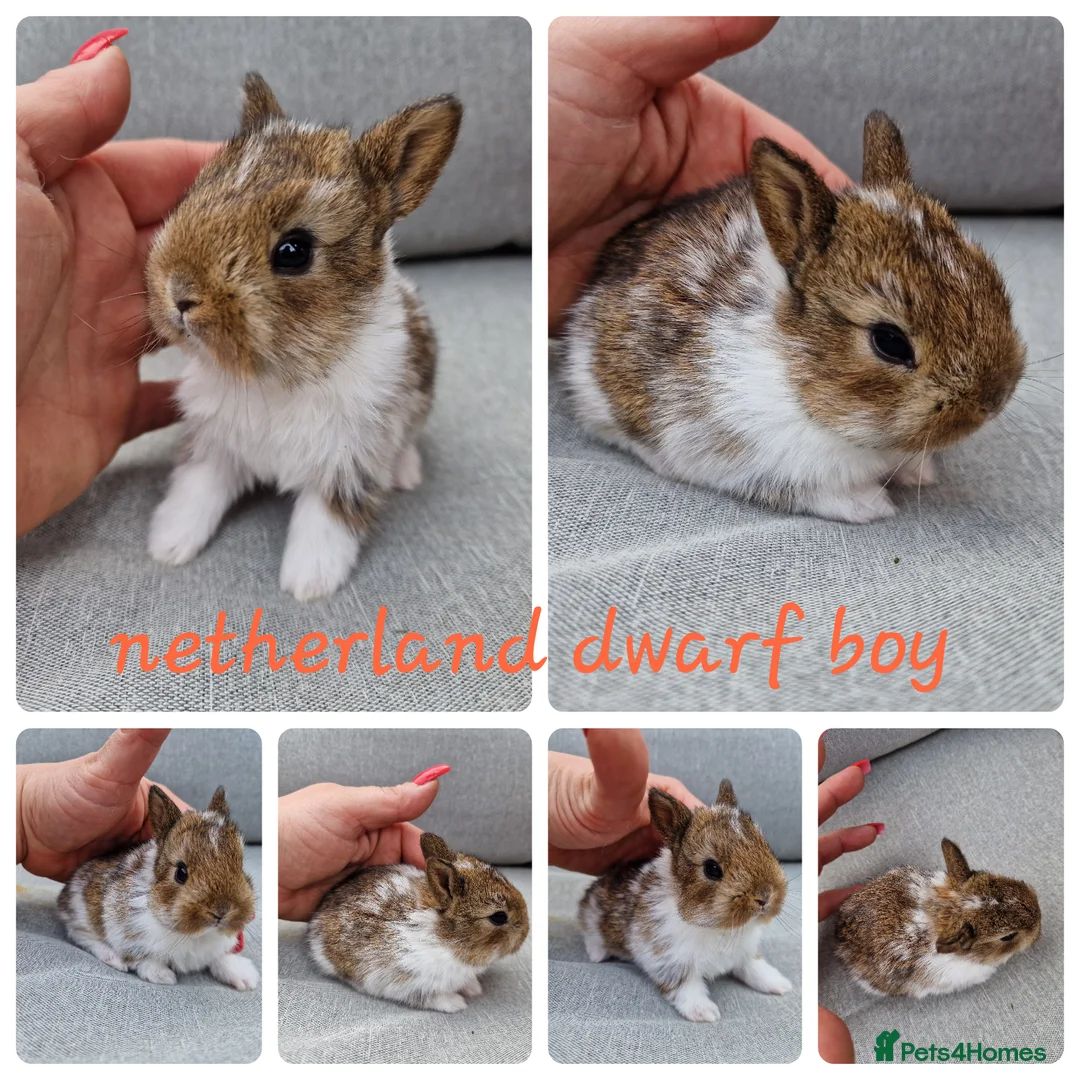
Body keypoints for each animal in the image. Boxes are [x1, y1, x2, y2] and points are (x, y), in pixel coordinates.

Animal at [57, 786, 258, 989]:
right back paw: (113, 959)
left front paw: (246, 978)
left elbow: (220, 958)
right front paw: (162, 976)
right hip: (80, 911)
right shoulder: (128, 935)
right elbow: (144, 959)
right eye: (181, 872)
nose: (221, 911)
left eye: (240, 866)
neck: (197, 935)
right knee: (80, 935)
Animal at [145, 73, 462, 600]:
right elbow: (195, 492)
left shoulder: (347, 466)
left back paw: (407, 474)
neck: (276, 375)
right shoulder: (214, 446)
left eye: (294, 250)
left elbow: (324, 525)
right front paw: (168, 545)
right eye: (193, 195)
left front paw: (307, 584)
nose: (180, 294)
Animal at [307, 831, 529, 1012]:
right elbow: (431, 998)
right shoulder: (411, 982)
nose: (525, 933)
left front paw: (474, 989)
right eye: (498, 917)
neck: (445, 936)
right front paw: (457, 1003)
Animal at [579, 780, 791, 1022]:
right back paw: (597, 955)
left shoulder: (744, 953)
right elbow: (685, 987)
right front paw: (704, 1013)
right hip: (593, 916)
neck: (715, 926)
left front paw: (780, 984)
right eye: (712, 869)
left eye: (766, 846)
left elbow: (754, 966)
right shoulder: (668, 960)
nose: (765, 896)